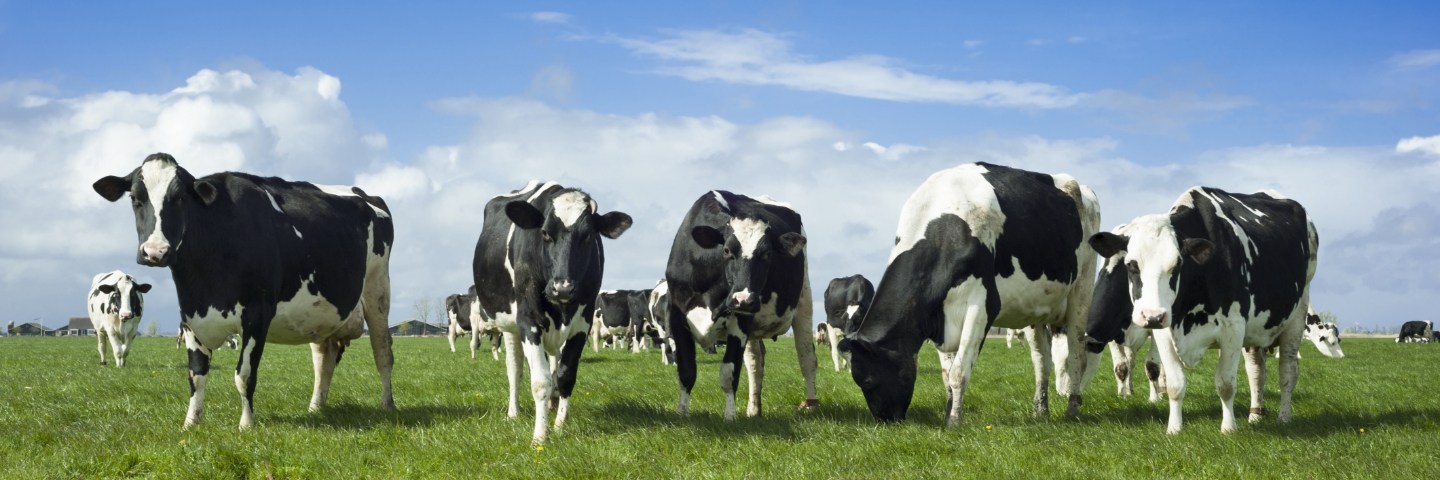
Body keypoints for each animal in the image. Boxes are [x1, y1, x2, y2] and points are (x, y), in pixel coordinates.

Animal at [93, 152, 396, 430]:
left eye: (180, 198)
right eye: (135, 198)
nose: (155, 252)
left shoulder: (257, 314)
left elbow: (245, 375)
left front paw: (247, 424)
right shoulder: (190, 317)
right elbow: (196, 374)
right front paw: (191, 422)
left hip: (378, 290)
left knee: (383, 353)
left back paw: (387, 405)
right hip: (321, 313)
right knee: (324, 359)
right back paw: (315, 407)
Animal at [471, 180, 631, 444]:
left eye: (588, 236)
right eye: (545, 233)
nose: (562, 287)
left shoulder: (583, 323)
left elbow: (566, 375)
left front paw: (559, 425)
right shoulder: (528, 320)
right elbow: (539, 381)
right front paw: (540, 436)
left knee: (554, 363)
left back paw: (553, 404)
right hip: (509, 325)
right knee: (515, 368)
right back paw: (514, 412)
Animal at [664, 190, 819, 420]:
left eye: (768, 254)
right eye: (727, 250)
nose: (744, 298)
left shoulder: (740, 321)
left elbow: (728, 374)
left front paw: (730, 418)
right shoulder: (677, 318)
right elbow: (686, 371)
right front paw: (682, 414)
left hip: (803, 302)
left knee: (807, 358)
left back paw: (811, 406)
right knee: (755, 361)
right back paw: (753, 410)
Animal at [842, 163, 1102, 425]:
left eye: (867, 381)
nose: (885, 420)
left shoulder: (981, 305)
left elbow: (958, 372)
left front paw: (954, 422)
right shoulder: (940, 316)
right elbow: (946, 375)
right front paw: (949, 413)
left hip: (1082, 291)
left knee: (1077, 354)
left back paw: (1072, 409)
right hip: (1036, 309)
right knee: (1041, 360)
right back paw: (1040, 410)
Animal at [1087, 187, 1317, 434]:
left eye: (1178, 265)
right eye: (1131, 265)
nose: (1152, 316)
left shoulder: (1233, 328)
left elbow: (1225, 384)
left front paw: (1228, 429)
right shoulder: (1164, 332)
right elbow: (1175, 384)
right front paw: (1174, 429)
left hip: (1298, 313)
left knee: (1287, 371)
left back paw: (1284, 417)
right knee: (1257, 371)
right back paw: (1255, 415)